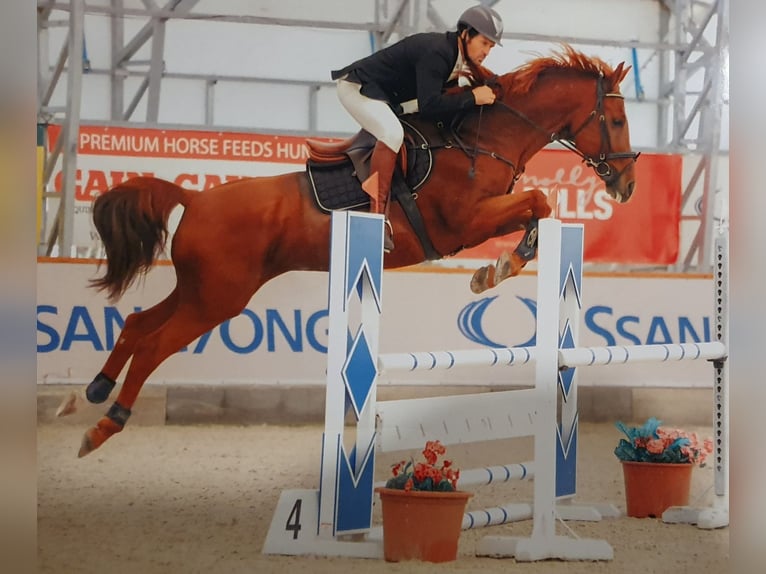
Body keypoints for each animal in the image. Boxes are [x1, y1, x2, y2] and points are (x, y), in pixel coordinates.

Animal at [57, 46, 640, 460]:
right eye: (615, 121)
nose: (628, 186)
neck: (481, 139)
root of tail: (195, 198)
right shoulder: (464, 222)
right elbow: (539, 201)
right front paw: (497, 269)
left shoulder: (483, 217)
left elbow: (536, 208)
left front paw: (493, 270)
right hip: (217, 299)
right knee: (155, 344)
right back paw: (105, 424)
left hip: (201, 290)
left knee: (138, 324)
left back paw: (92, 390)